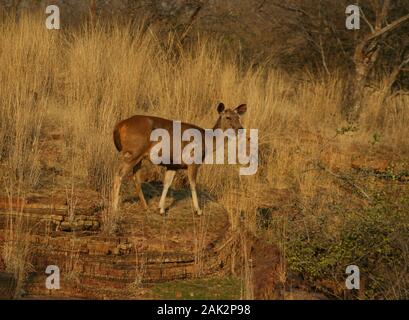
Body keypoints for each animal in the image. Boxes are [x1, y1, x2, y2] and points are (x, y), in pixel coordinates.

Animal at [111, 102, 245, 215]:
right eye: (227, 117)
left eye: (238, 117)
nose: (240, 128)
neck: (207, 141)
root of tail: (119, 126)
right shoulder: (193, 161)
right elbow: (193, 184)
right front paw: (198, 210)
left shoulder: (173, 165)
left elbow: (167, 183)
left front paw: (161, 209)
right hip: (133, 152)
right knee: (119, 174)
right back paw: (115, 207)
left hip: (138, 156)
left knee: (136, 178)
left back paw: (145, 207)